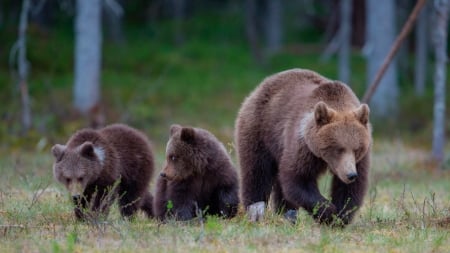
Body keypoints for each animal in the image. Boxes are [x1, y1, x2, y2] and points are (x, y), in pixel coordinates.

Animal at [234, 68, 370, 225]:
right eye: (338, 148)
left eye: (357, 149)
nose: (350, 174)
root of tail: (261, 86)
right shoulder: (304, 147)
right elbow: (298, 178)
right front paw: (327, 211)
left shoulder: (360, 159)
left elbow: (349, 190)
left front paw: (339, 217)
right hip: (260, 129)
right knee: (257, 171)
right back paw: (255, 209)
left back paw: (285, 212)